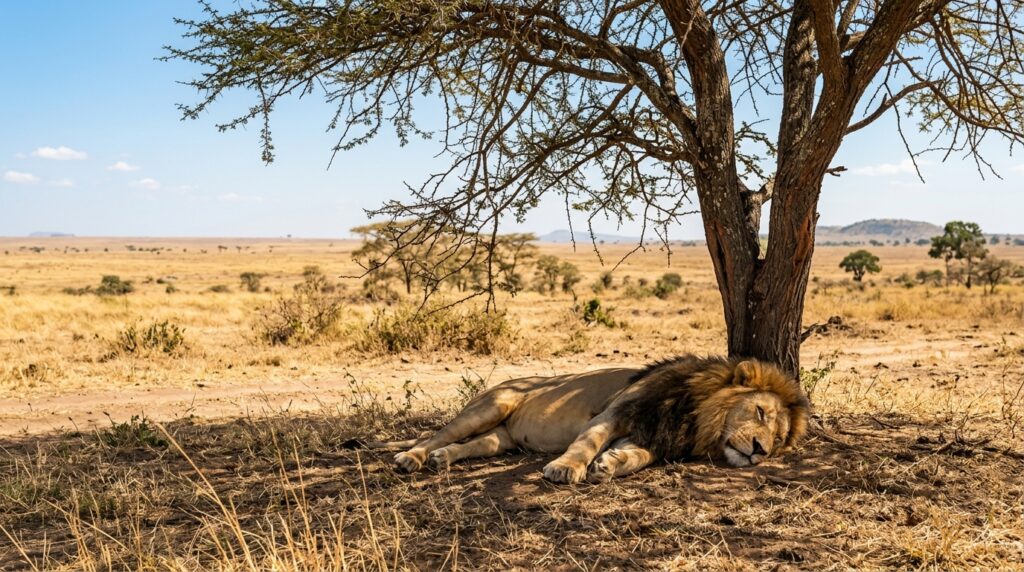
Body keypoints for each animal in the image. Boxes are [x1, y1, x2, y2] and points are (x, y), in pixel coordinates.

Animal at [358, 355, 809, 483]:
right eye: (760, 411)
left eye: (778, 438)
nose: (759, 451)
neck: (696, 418)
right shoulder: (617, 411)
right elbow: (585, 442)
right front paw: (565, 468)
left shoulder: (656, 437)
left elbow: (638, 457)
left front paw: (612, 464)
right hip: (492, 405)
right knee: (434, 435)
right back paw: (413, 458)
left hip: (501, 438)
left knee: (470, 446)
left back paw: (444, 460)